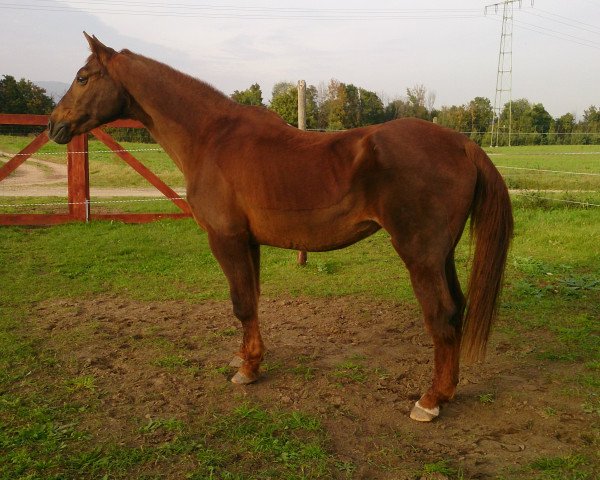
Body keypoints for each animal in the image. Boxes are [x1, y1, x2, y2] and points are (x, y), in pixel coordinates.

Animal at [49, 33, 512, 422]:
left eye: (82, 77)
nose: (54, 125)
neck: (211, 137)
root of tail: (463, 144)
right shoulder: (248, 242)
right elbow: (252, 301)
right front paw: (246, 356)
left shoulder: (226, 239)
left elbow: (241, 303)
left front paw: (248, 370)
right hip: (441, 255)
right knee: (456, 310)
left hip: (420, 255)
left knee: (442, 316)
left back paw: (430, 401)